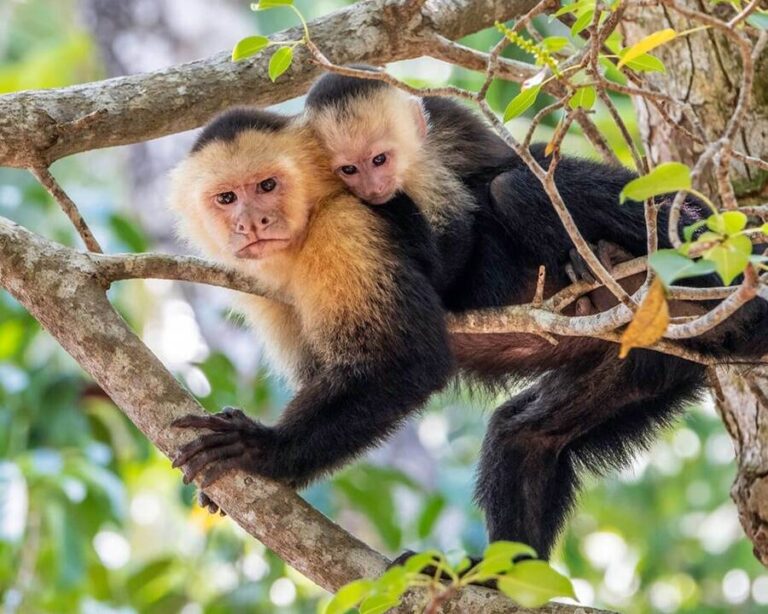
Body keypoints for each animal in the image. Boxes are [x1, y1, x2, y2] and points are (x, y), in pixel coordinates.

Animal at [166, 108, 454, 505]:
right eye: (226, 198)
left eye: (267, 186)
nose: (251, 223)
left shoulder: (344, 227)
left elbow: (405, 360)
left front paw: (265, 449)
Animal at [304, 70, 768, 559]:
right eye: (348, 169)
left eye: (380, 158)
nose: (373, 189)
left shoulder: (444, 132)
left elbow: (476, 211)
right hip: (648, 359)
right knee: (523, 437)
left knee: (519, 185)